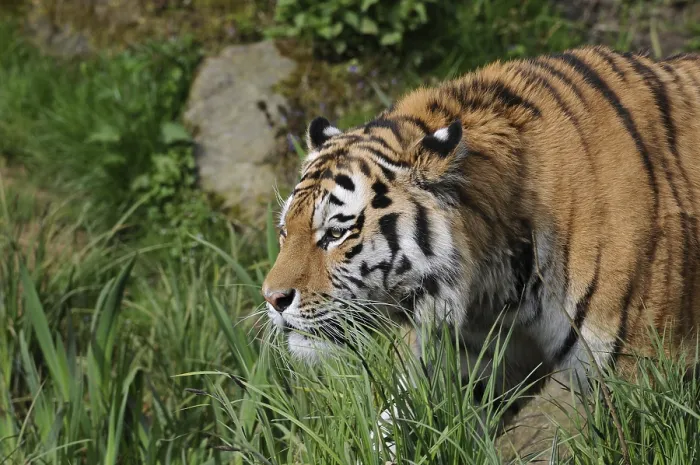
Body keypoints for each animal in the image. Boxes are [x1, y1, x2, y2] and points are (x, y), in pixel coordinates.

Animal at [261, 45, 700, 433]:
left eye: (336, 233)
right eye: (284, 232)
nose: (272, 299)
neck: (497, 284)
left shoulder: (638, 374)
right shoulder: (464, 367)